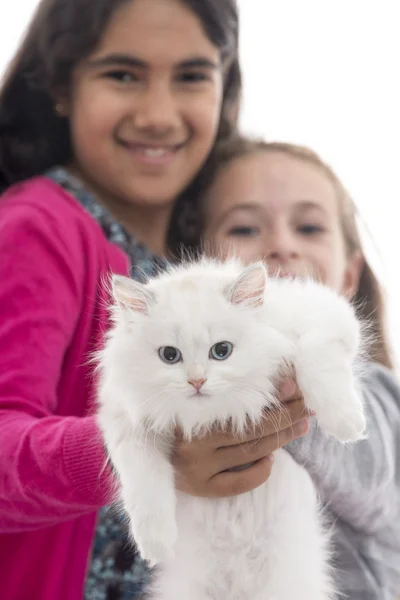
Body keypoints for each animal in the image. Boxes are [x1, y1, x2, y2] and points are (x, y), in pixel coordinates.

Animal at [96, 258, 366, 600]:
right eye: (169, 355)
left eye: (221, 351)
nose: (196, 381)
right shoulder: (125, 424)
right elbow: (145, 487)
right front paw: (156, 544)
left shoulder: (327, 316)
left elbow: (317, 358)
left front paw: (346, 423)